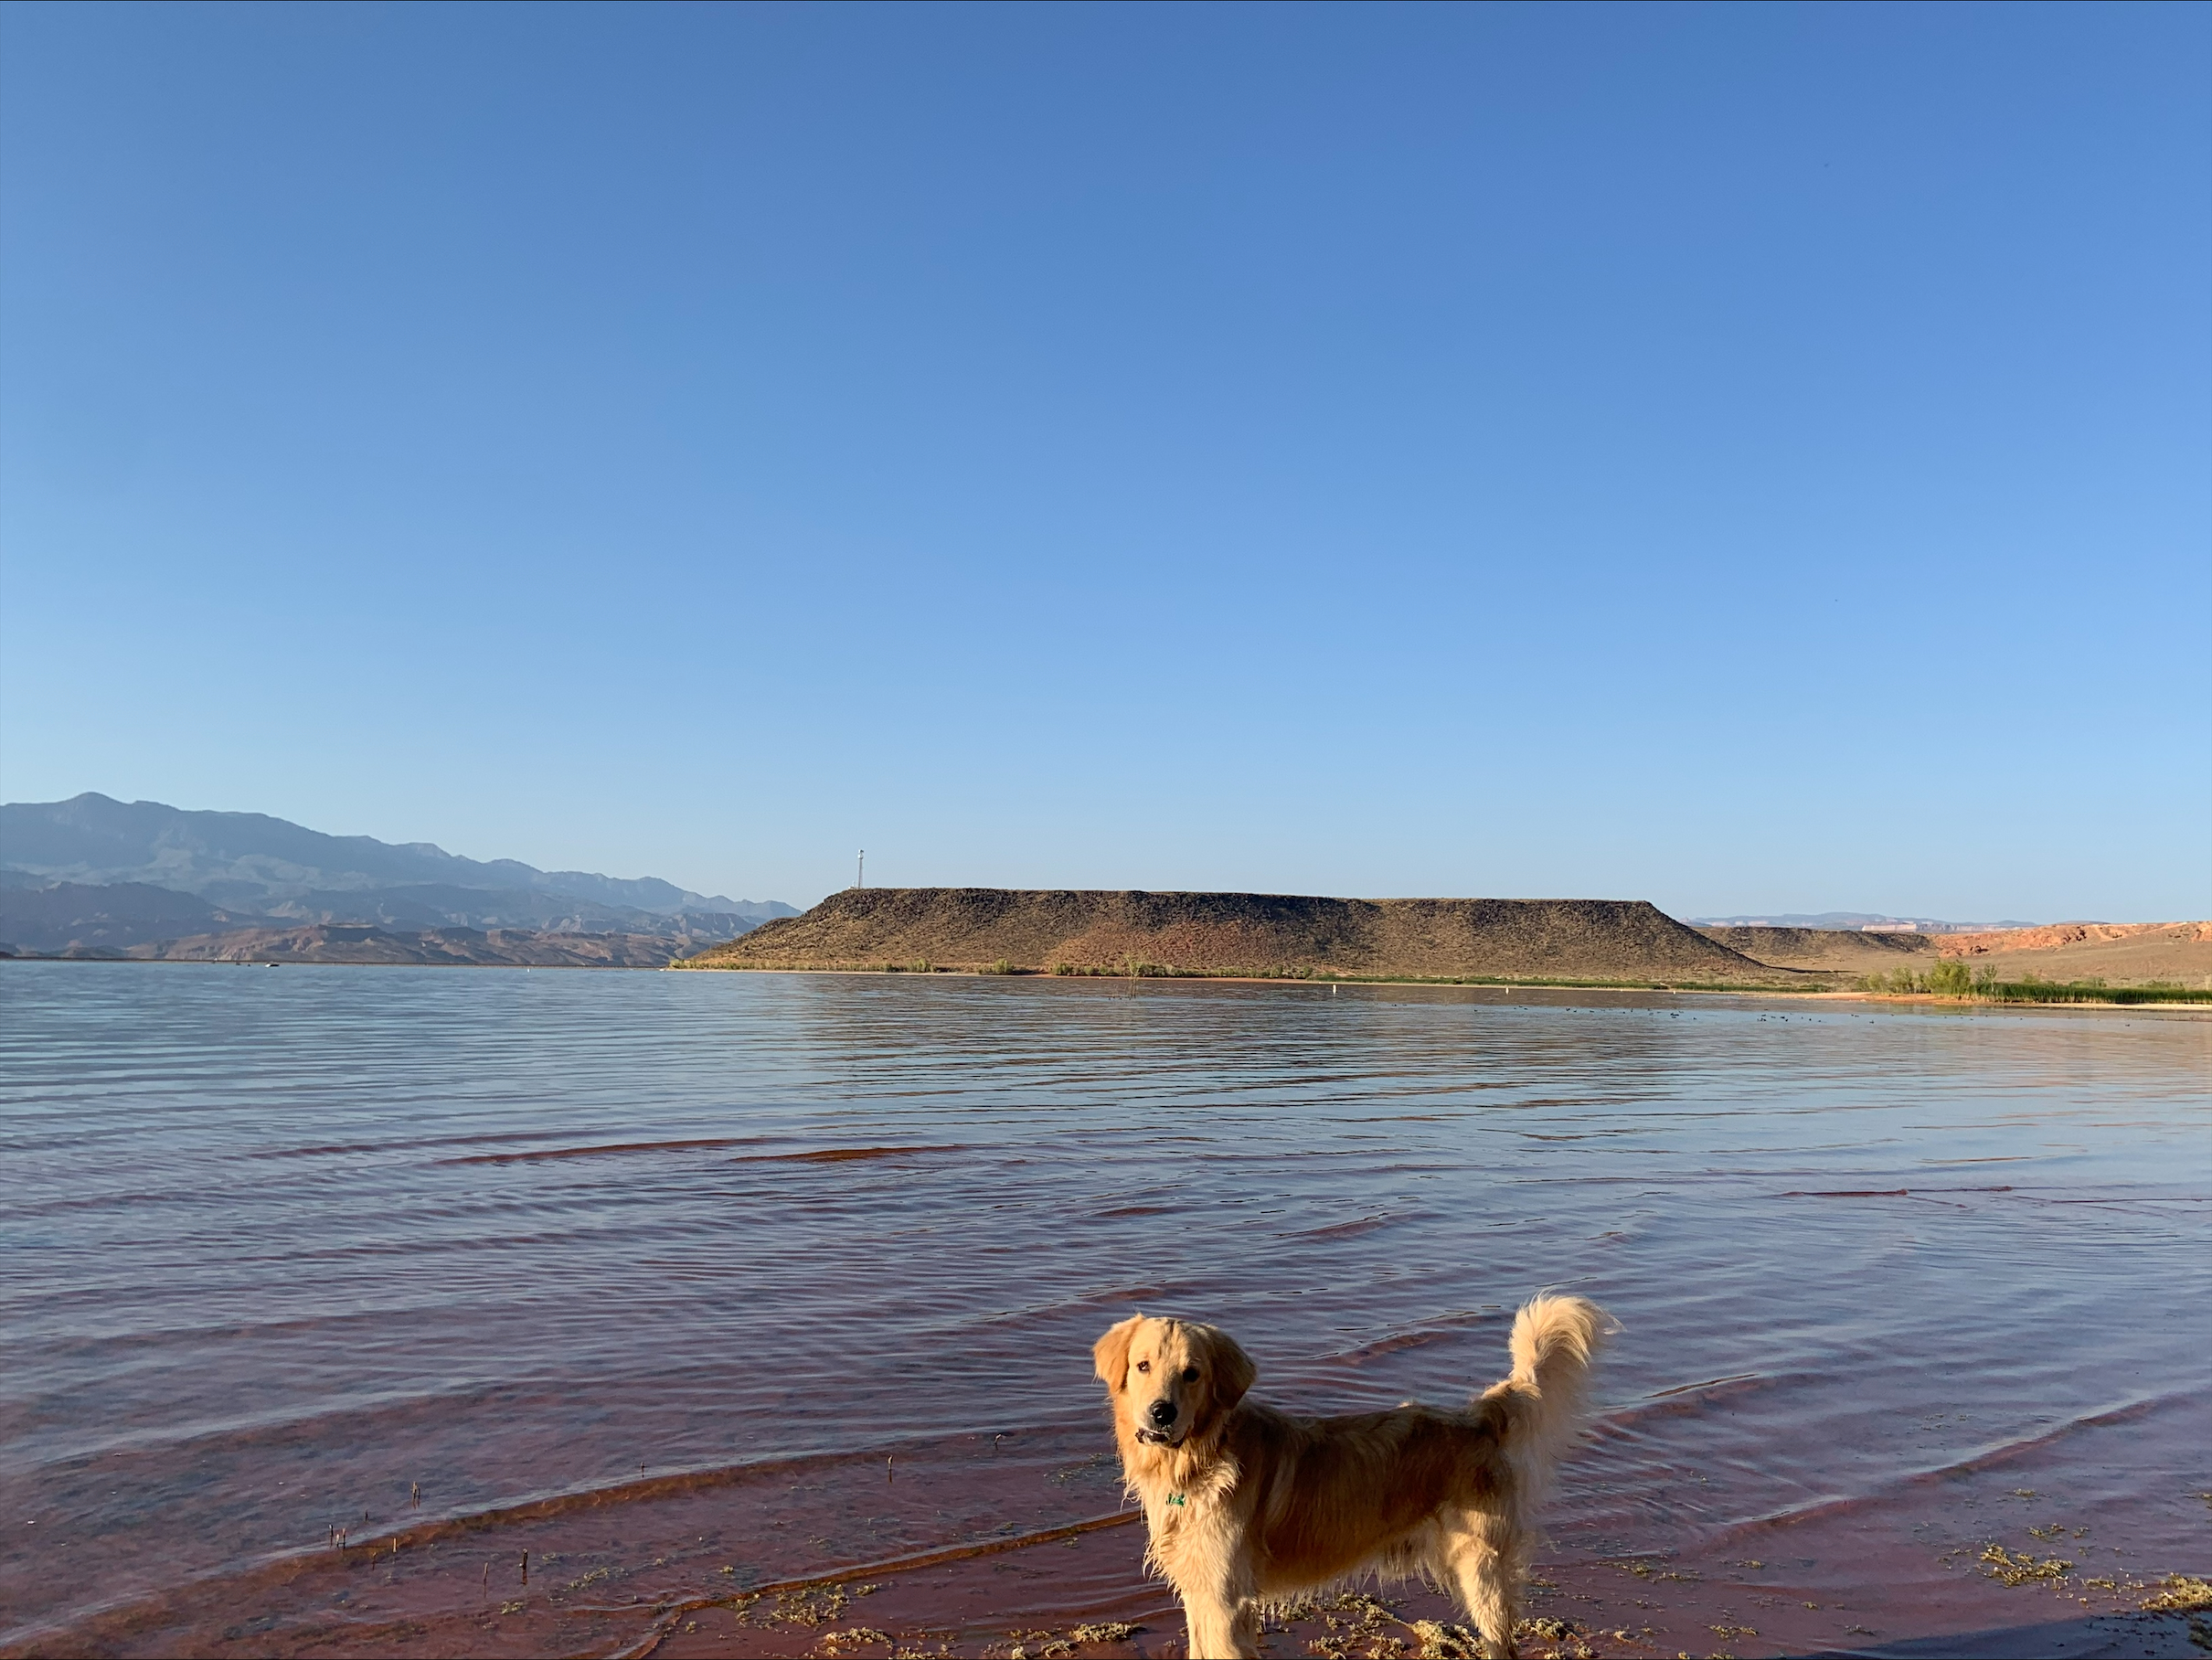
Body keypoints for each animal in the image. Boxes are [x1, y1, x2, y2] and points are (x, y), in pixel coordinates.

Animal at [1097, 1301, 1619, 1660]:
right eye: (1143, 1365)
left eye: (1192, 1373)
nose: (1161, 1413)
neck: (1202, 1457)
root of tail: (1477, 1416)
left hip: (1482, 1569)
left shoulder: (1227, 1600)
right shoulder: (1199, 1590)